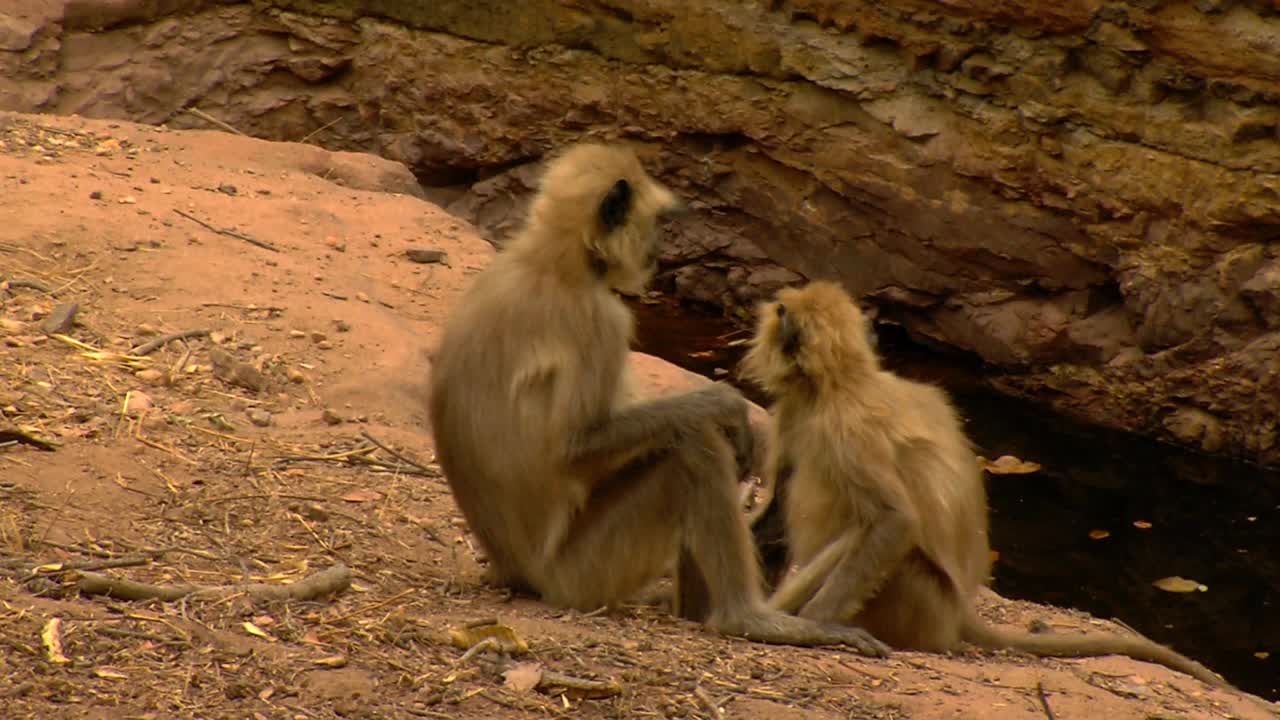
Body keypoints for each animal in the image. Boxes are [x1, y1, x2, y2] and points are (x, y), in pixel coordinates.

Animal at [424, 142, 885, 653]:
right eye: (658, 222)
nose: (659, 250)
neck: (551, 258)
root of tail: (517, 575)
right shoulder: (601, 317)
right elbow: (578, 443)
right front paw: (721, 404)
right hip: (583, 573)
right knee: (692, 450)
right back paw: (744, 617)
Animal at [742, 279, 1228, 681]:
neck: (836, 382)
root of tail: (959, 613)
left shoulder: (847, 427)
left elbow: (895, 520)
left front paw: (816, 626)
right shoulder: (795, 413)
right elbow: (777, 504)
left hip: (914, 602)